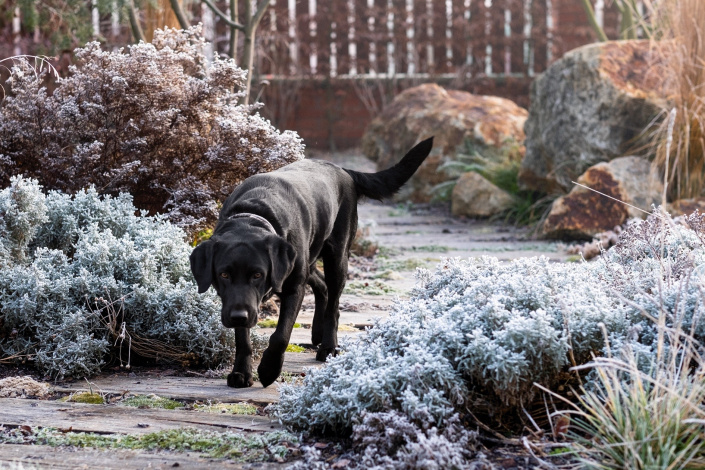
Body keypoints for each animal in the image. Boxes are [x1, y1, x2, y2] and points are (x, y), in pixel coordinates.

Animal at [190, 138, 432, 388]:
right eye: (224, 275)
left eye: (257, 275)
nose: (239, 316)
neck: (254, 214)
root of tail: (344, 170)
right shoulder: (236, 301)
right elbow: (242, 339)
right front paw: (241, 372)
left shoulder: (293, 287)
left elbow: (281, 335)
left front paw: (268, 370)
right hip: (307, 259)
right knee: (321, 285)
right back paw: (317, 332)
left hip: (336, 257)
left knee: (333, 303)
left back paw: (328, 346)